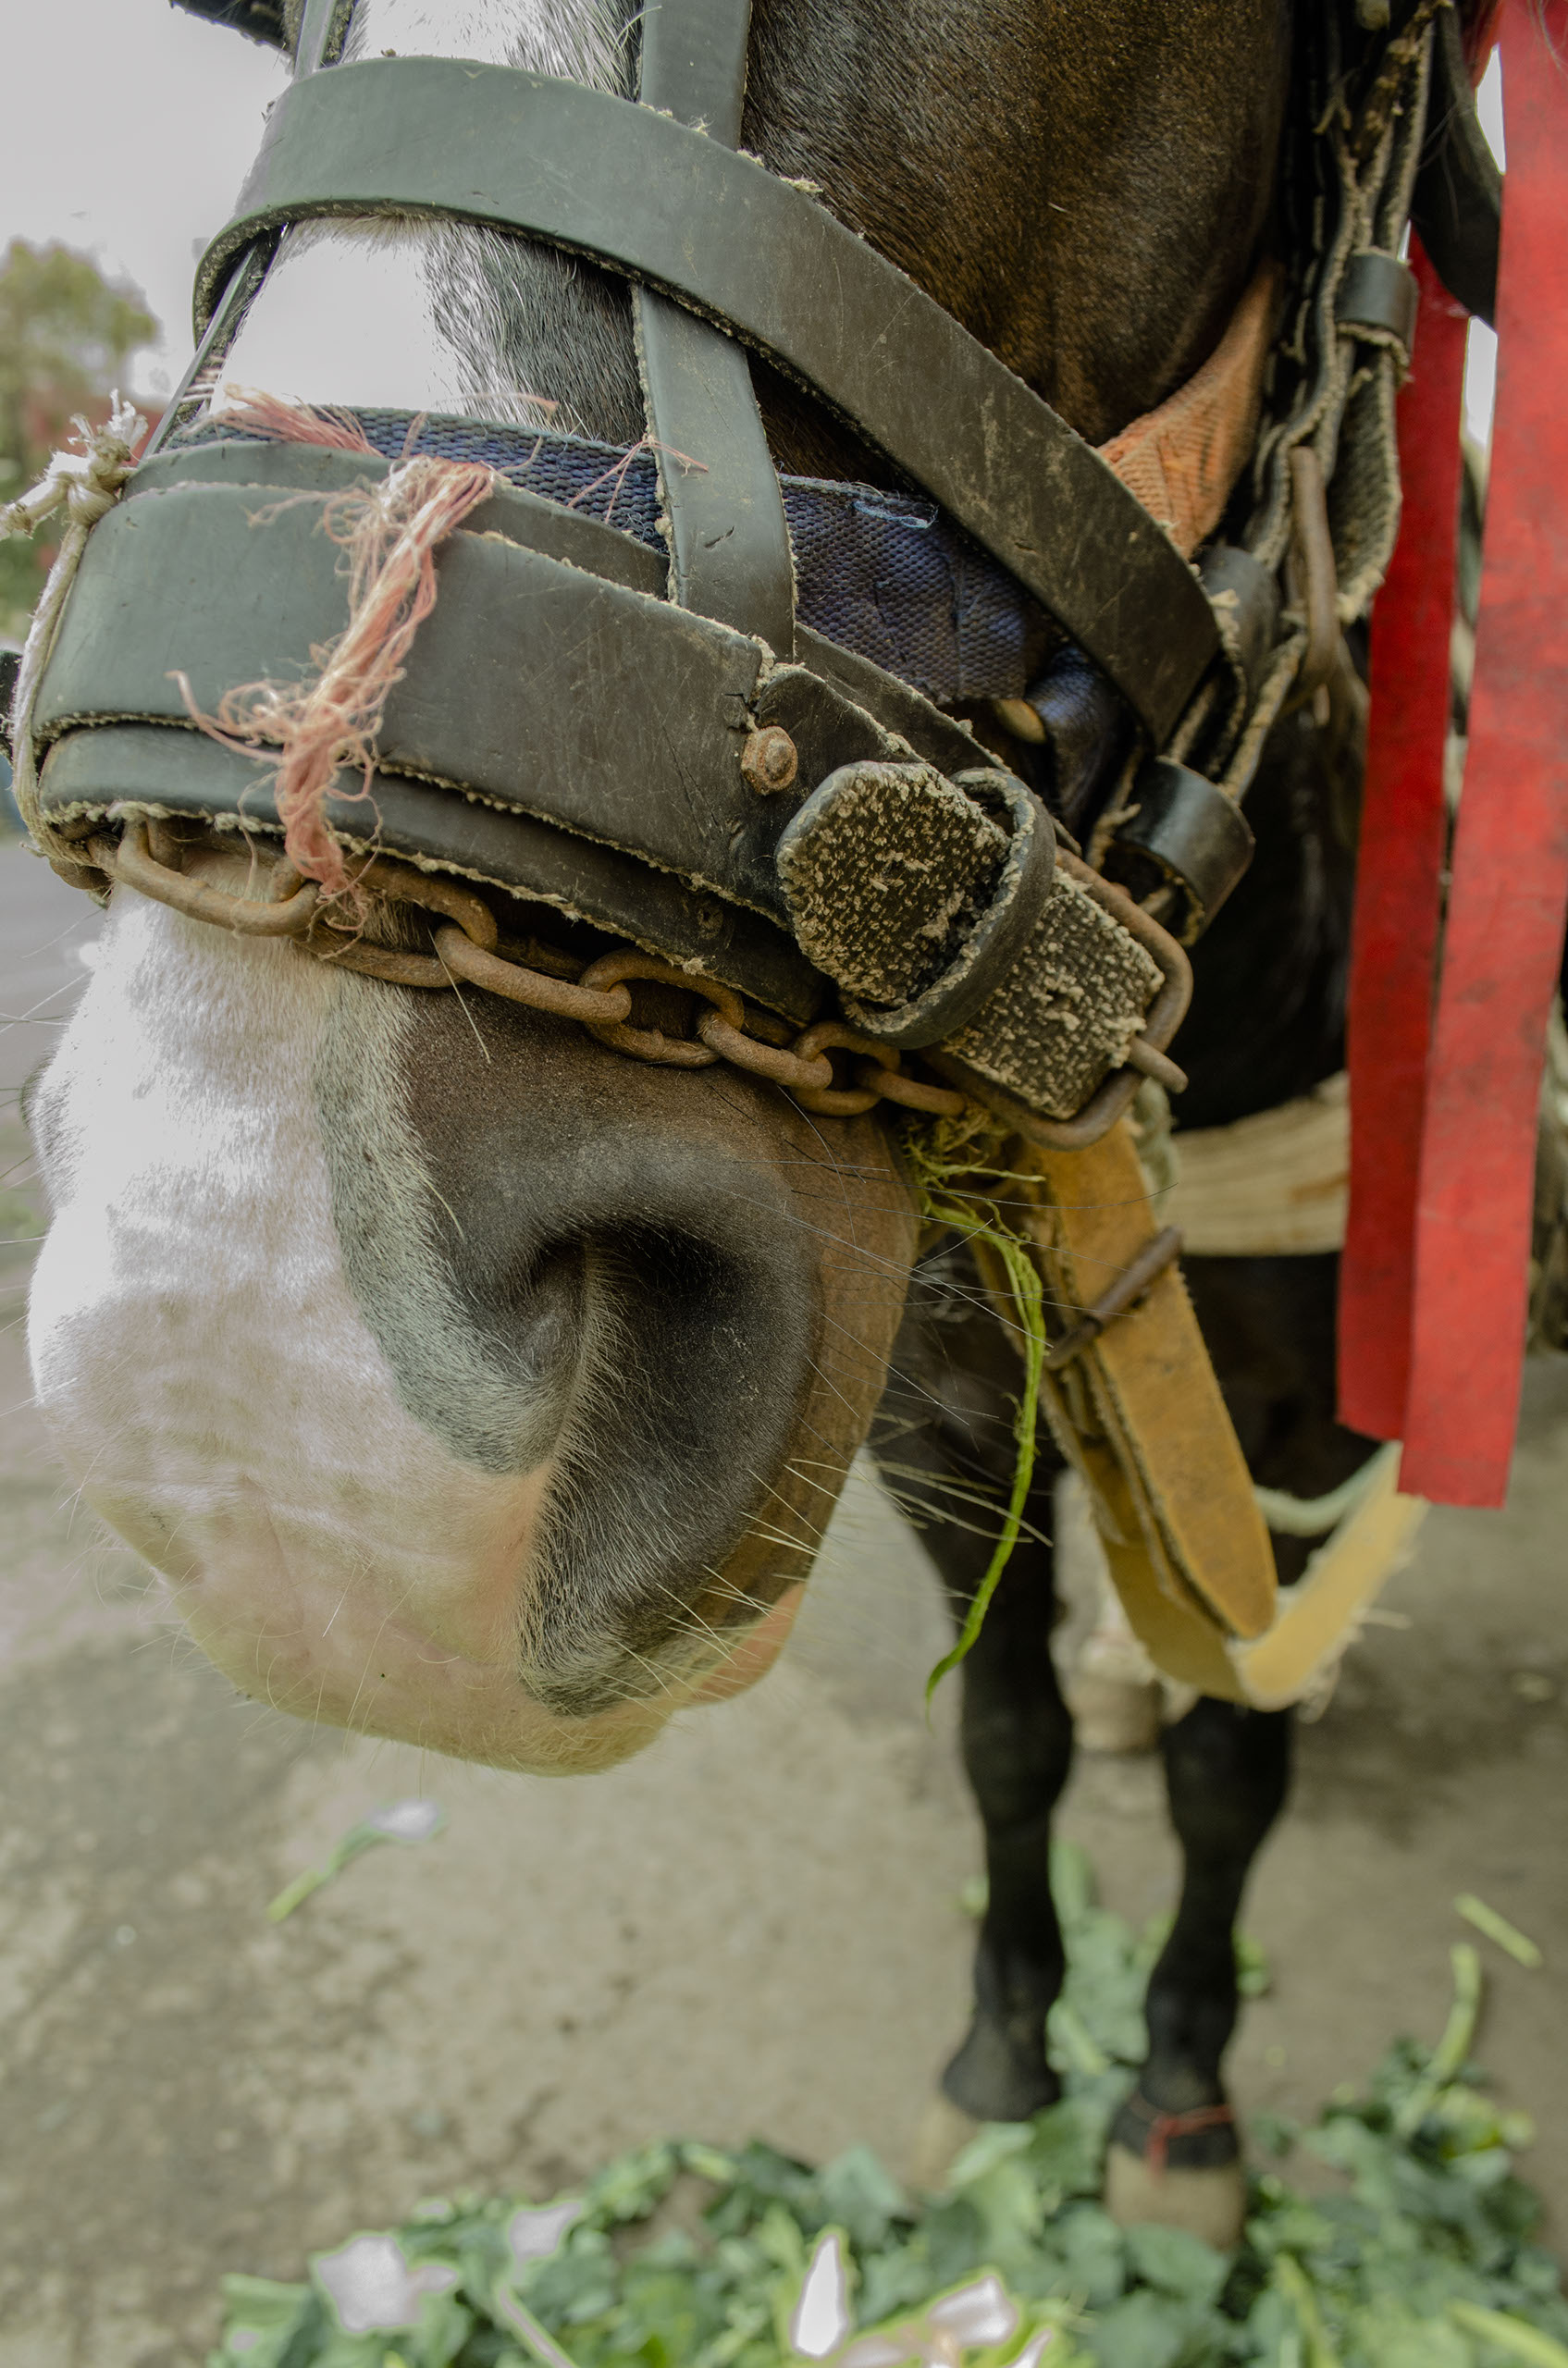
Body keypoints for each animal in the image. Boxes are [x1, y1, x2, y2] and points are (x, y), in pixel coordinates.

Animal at [17, 0, 1493, 2246]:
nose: (258, 1394)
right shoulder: (936, 1396)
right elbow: (1001, 1728)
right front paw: (1005, 2055)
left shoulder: (1325, 1390)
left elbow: (1242, 1755)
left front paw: (1174, 2101)